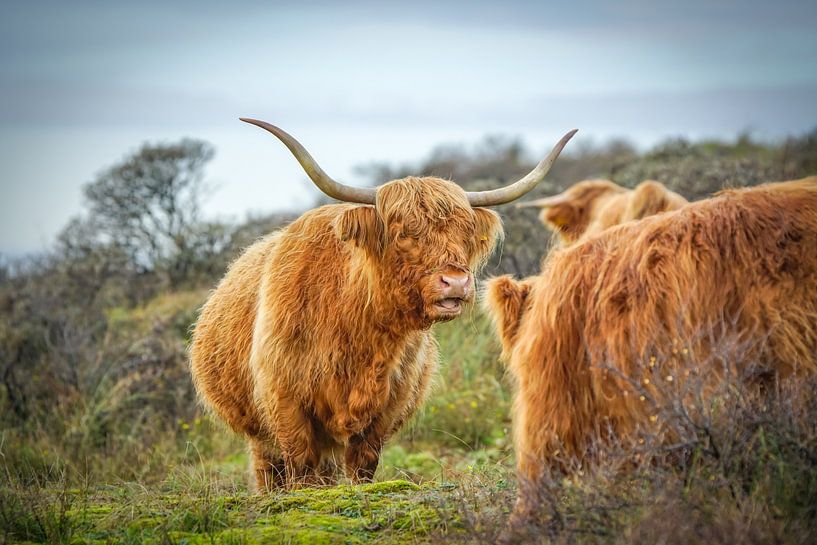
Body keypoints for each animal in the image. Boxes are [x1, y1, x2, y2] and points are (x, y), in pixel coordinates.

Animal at [190, 119, 572, 488]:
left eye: (464, 234)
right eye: (403, 233)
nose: (455, 282)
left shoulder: (389, 404)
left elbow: (363, 465)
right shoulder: (284, 398)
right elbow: (302, 467)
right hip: (257, 432)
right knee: (270, 471)